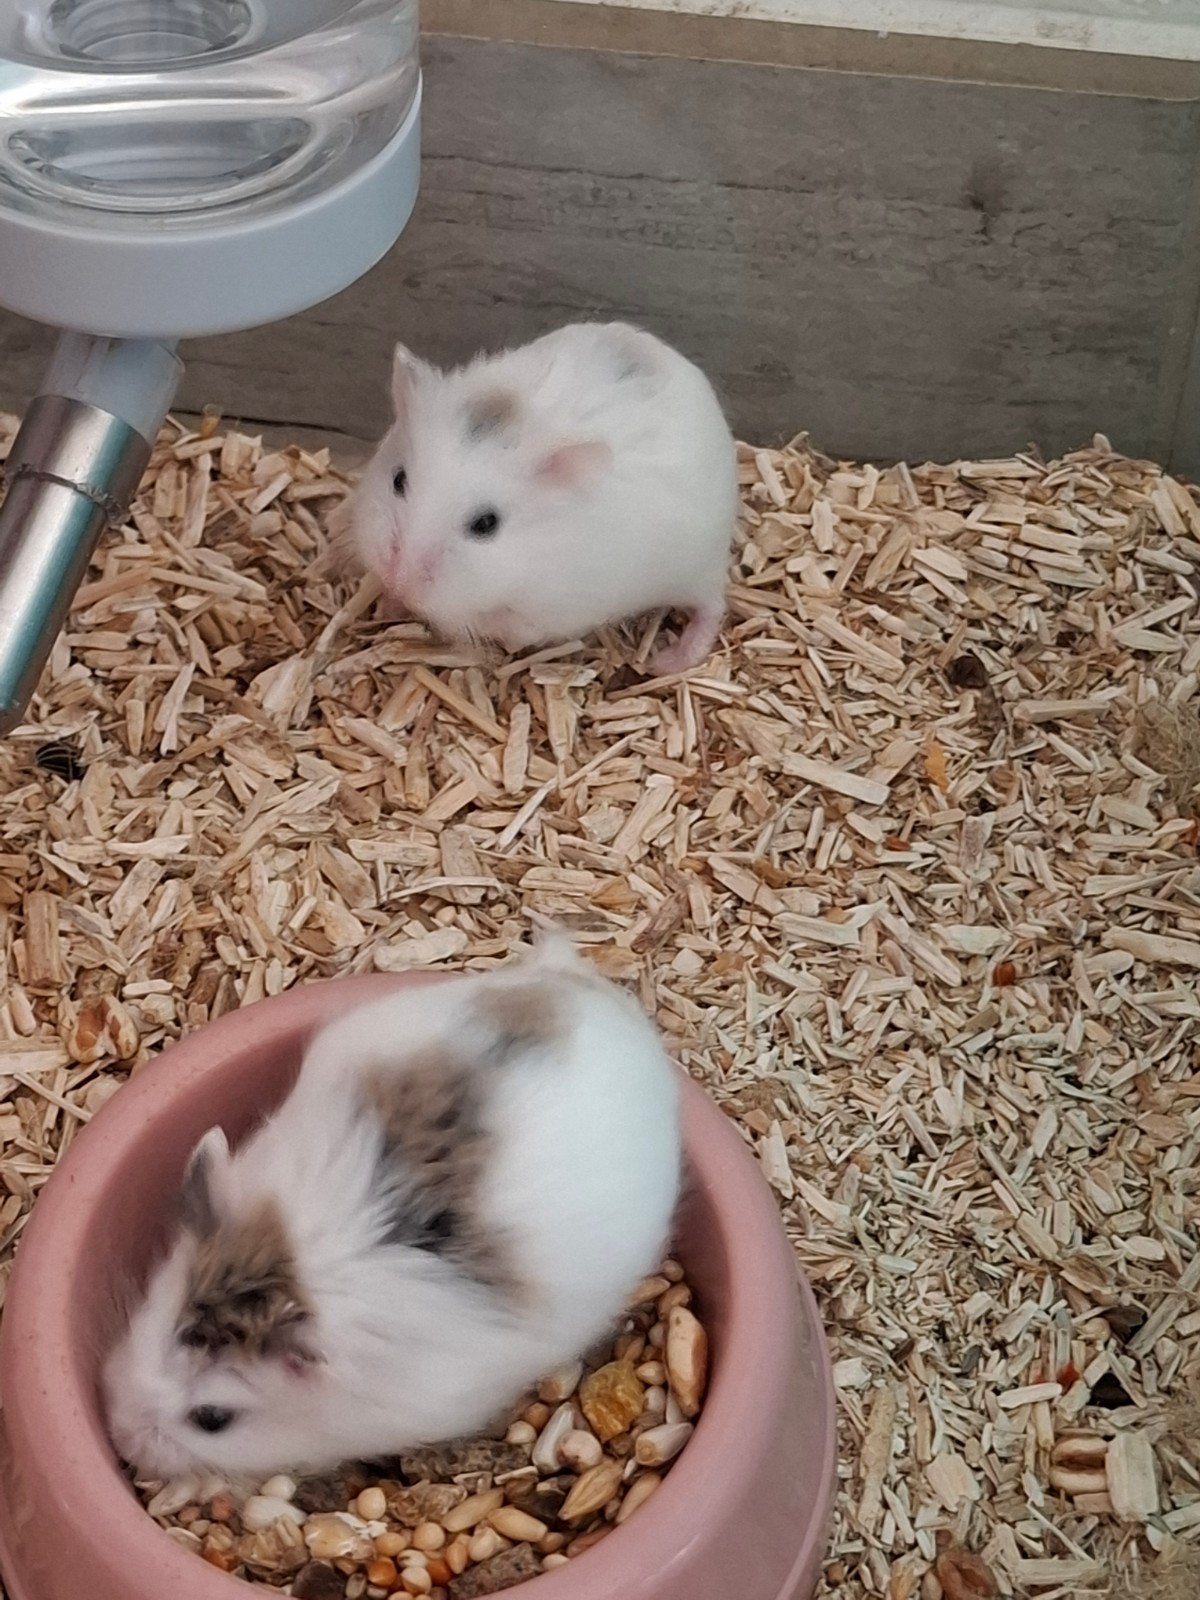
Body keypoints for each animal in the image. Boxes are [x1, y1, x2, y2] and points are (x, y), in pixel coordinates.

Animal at [345, 321, 739, 675]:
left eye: (486, 524)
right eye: (398, 480)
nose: (399, 578)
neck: (531, 561)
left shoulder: (550, 612)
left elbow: (501, 627)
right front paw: (389, 606)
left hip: (698, 564)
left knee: (712, 607)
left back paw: (666, 663)